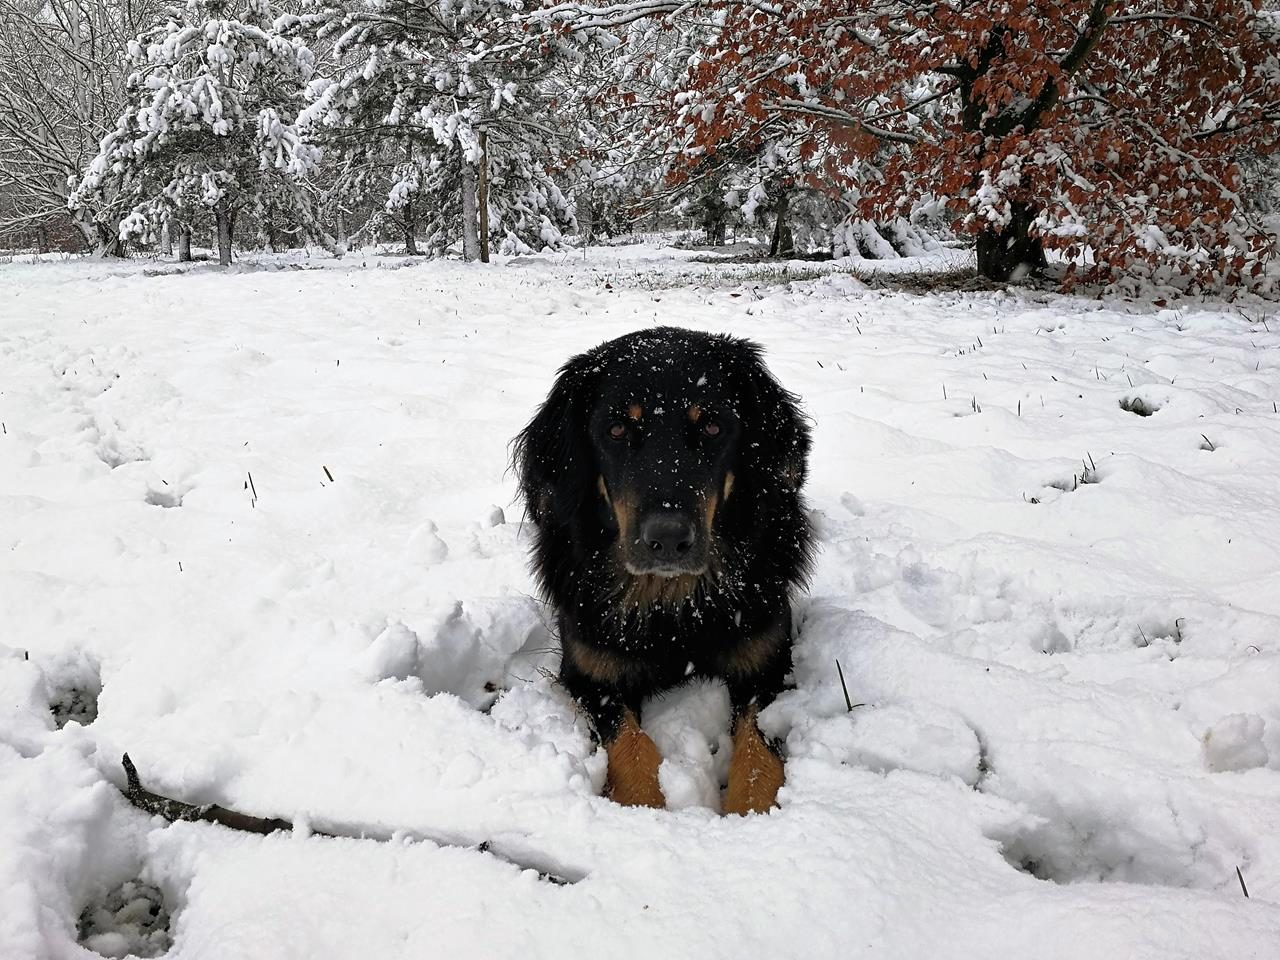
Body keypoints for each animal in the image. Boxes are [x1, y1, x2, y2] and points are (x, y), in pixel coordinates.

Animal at [509, 327, 808, 814]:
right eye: (616, 429)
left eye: (712, 426)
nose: (667, 538)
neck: (673, 608)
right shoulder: (591, 674)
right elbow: (632, 746)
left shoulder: (769, 664)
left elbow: (757, 753)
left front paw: (751, 819)